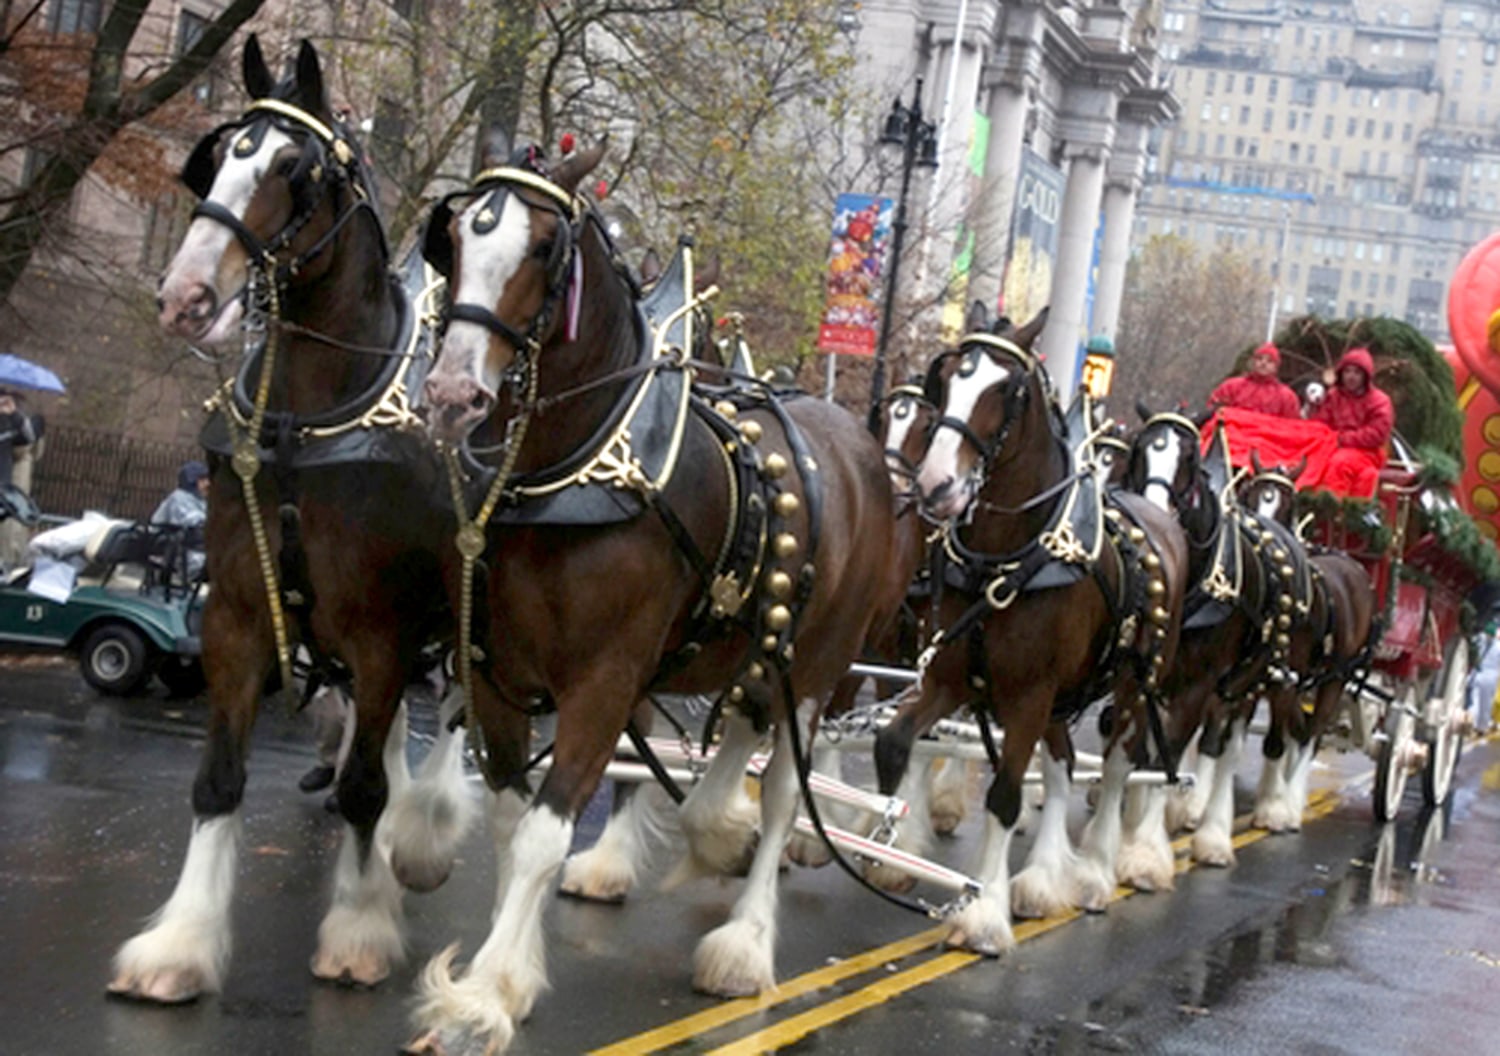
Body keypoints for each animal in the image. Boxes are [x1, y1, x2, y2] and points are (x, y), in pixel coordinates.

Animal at [110, 35, 471, 1008]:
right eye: (218, 159)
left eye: (293, 170)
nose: (188, 295)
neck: (305, 424)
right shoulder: (238, 616)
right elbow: (218, 780)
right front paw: (180, 944)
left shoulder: (385, 631)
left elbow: (365, 794)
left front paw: (358, 930)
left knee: (451, 721)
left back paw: (424, 839)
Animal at [414, 142, 900, 1056]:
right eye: (454, 237)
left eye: (544, 249)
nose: (455, 393)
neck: (569, 476)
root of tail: (859, 443)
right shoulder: (496, 679)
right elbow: (508, 827)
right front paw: (509, 971)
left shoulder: (602, 685)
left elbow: (544, 834)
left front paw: (482, 996)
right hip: (757, 640)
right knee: (740, 729)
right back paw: (715, 828)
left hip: (819, 666)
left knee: (783, 793)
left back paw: (744, 943)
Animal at [876, 312, 1188, 948]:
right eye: (948, 378)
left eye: (1008, 391)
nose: (936, 486)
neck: (1009, 558)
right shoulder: (949, 678)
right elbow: (896, 744)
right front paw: (890, 847)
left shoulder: (1028, 694)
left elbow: (1003, 795)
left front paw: (982, 912)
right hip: (1059, 698)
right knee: (1064, 765)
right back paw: (1045, 877)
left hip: (1130, 686)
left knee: (1118, 766)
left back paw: (1095, 872)